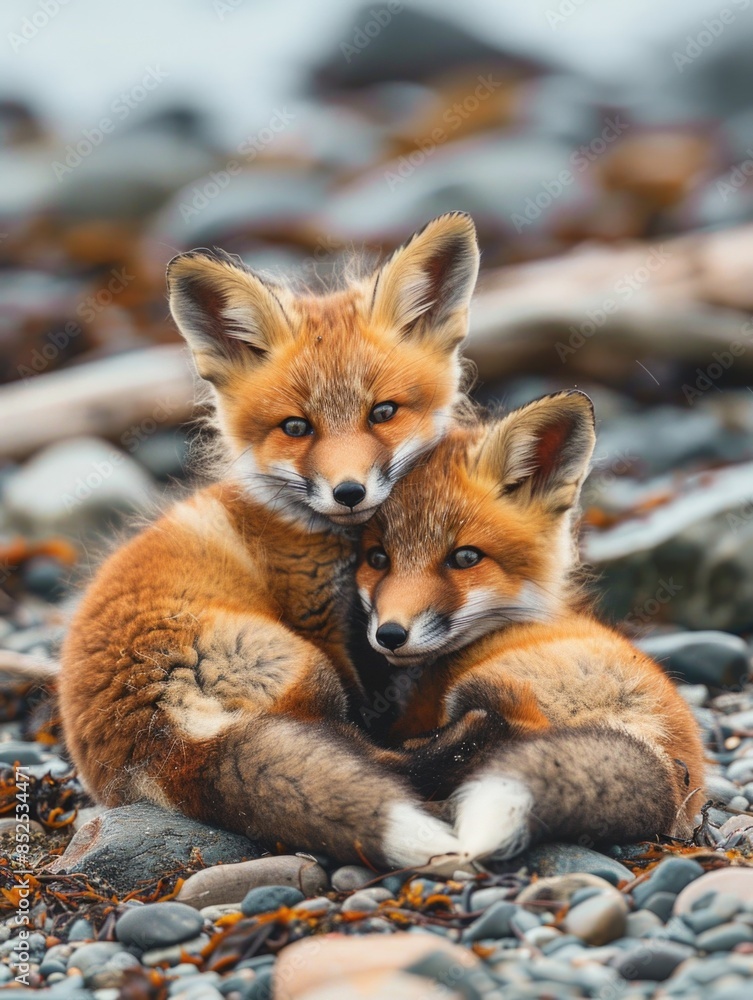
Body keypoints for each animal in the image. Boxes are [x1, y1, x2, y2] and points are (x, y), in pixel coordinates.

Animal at [58, 212, 481, 871]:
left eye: (383, 412)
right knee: (367, 756)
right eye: (296, 427)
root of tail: (157, 745)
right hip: (304, 667)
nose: (349, 492)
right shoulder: (322, 624)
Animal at [356, 391, 706, 863]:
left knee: (489, 732)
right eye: (377, 558)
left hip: (482, 690)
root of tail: (660, 749)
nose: (390, 635)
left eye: (465, 558)